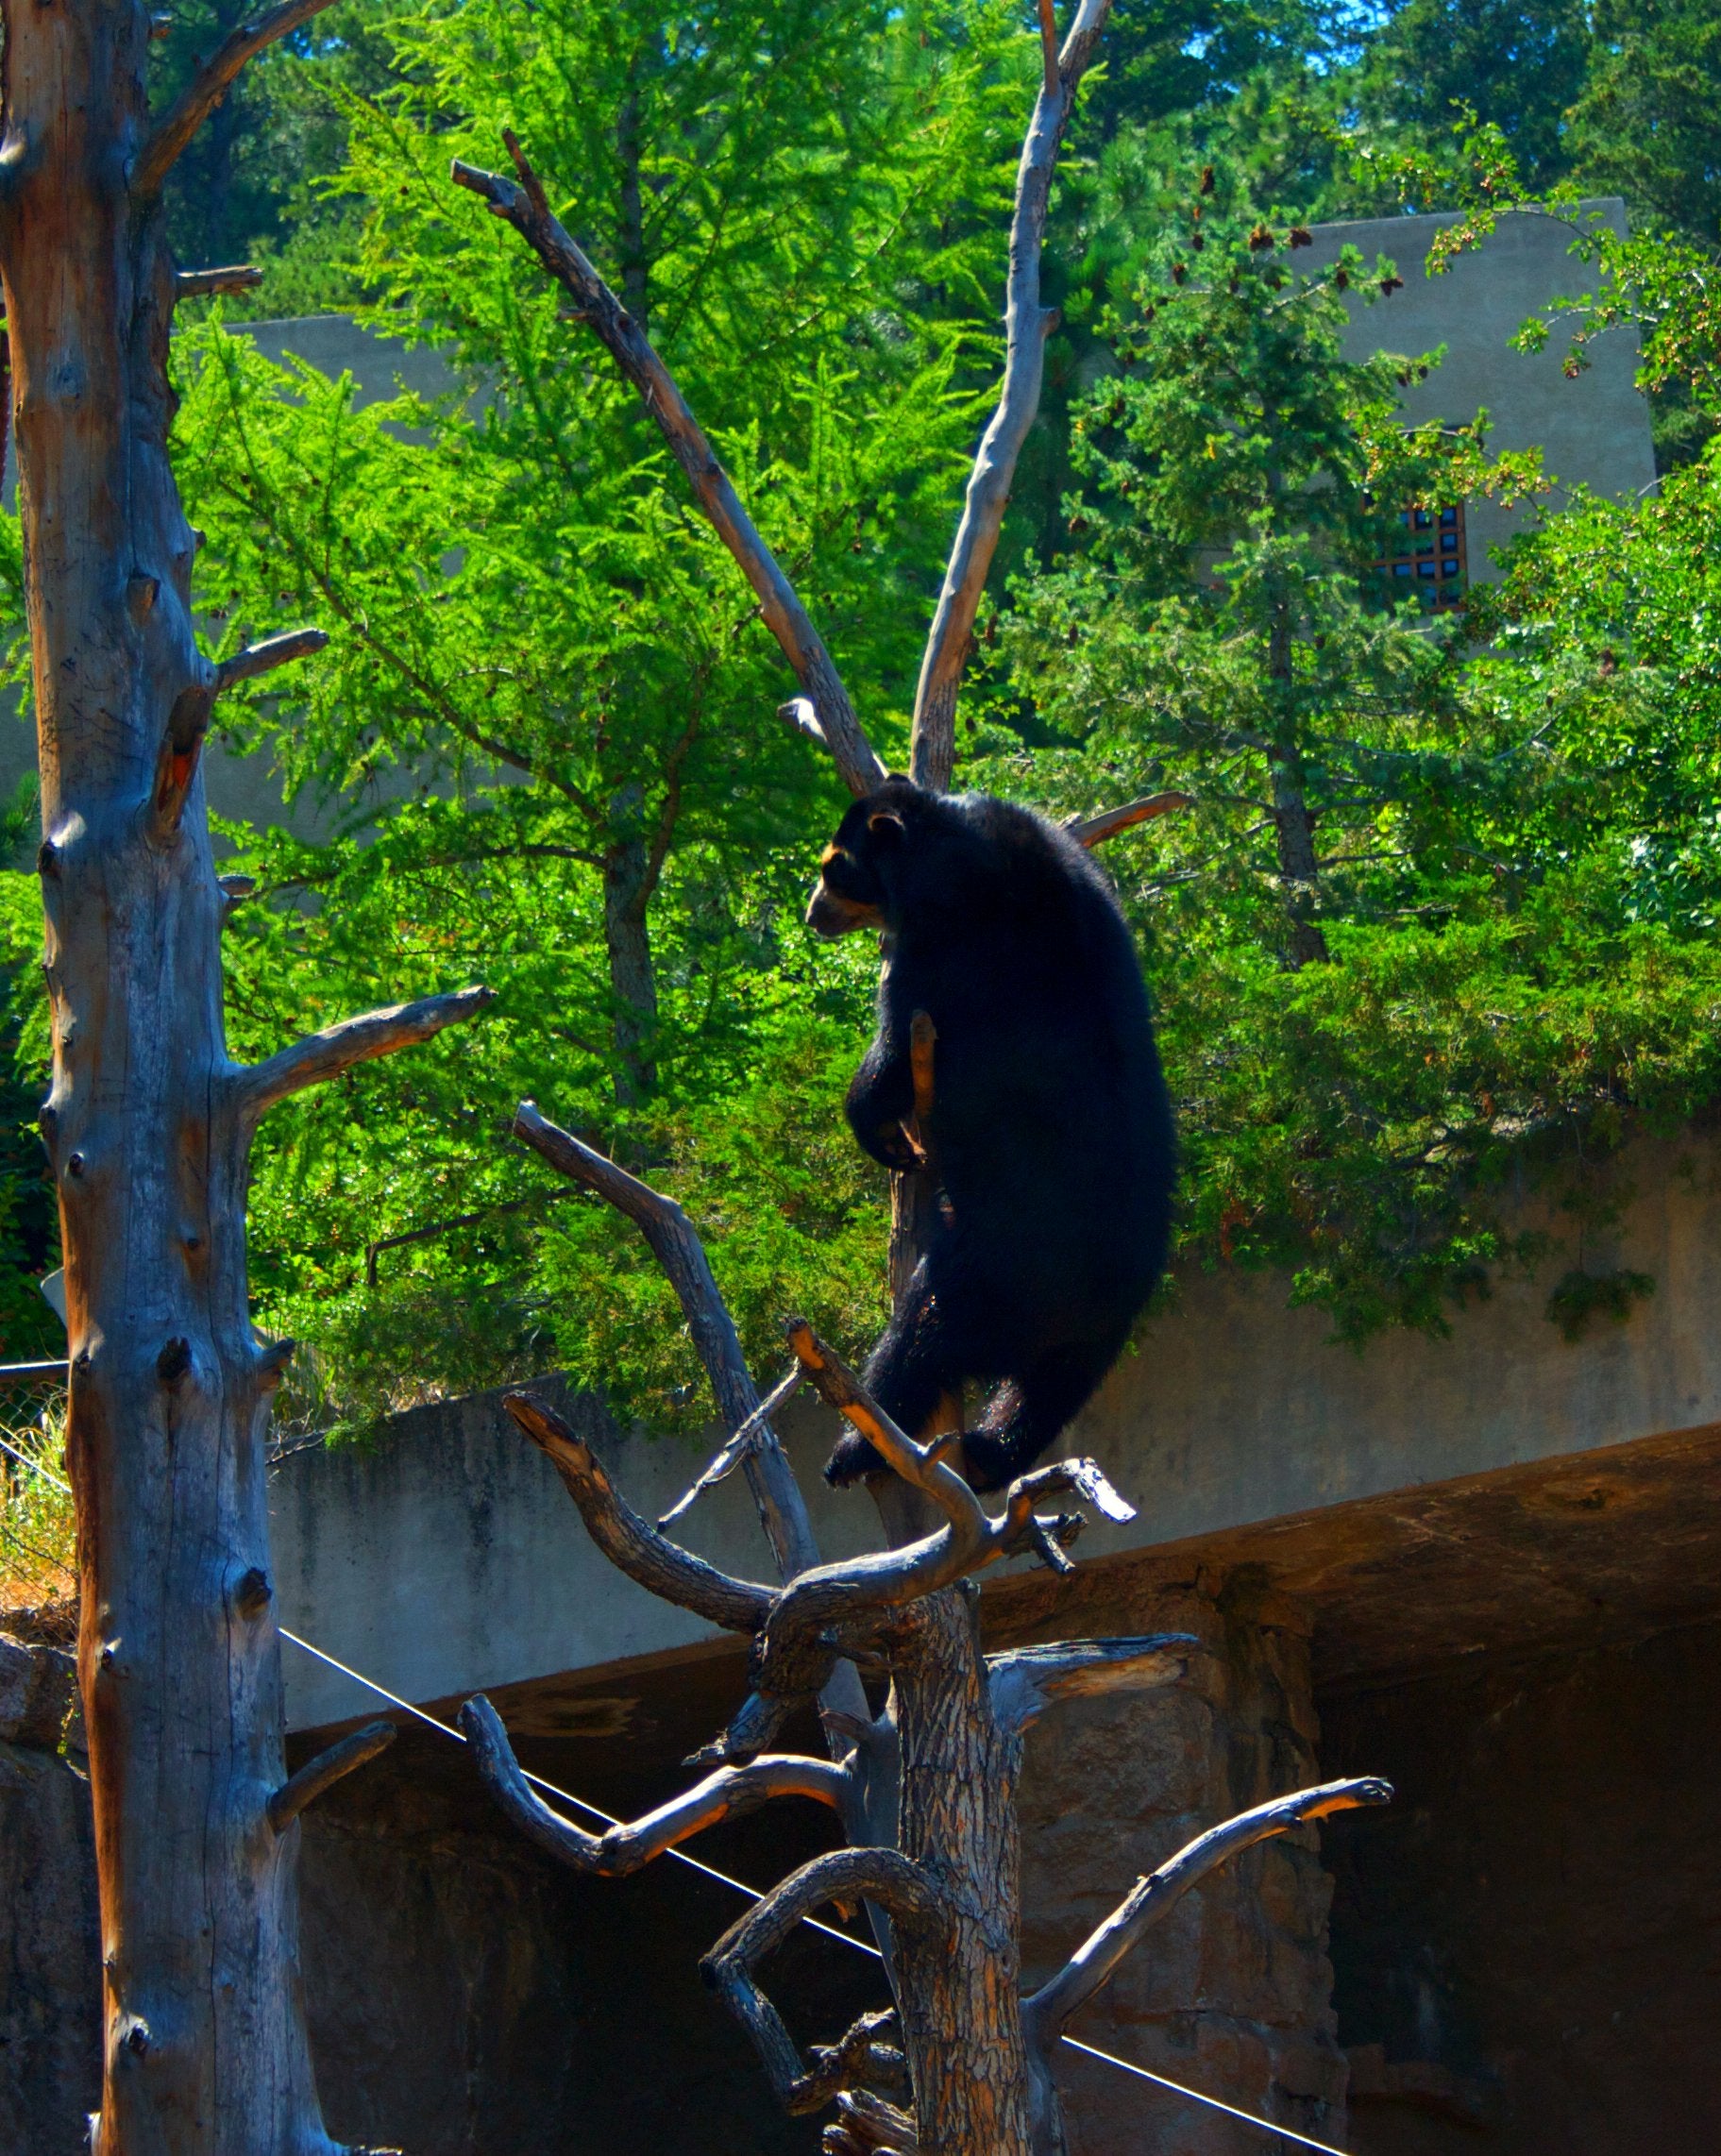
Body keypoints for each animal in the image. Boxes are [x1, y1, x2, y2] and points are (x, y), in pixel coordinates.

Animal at [806, 774, 1175, 1492]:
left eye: (834, 866)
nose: (812, 915)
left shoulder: (953, 939)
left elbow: (900, 1042)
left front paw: (879, 1130)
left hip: (989, 1271)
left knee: (920, 1338)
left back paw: (857, 1447)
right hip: (1086, 1335)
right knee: (1043, 1396)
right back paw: (982, 1454)